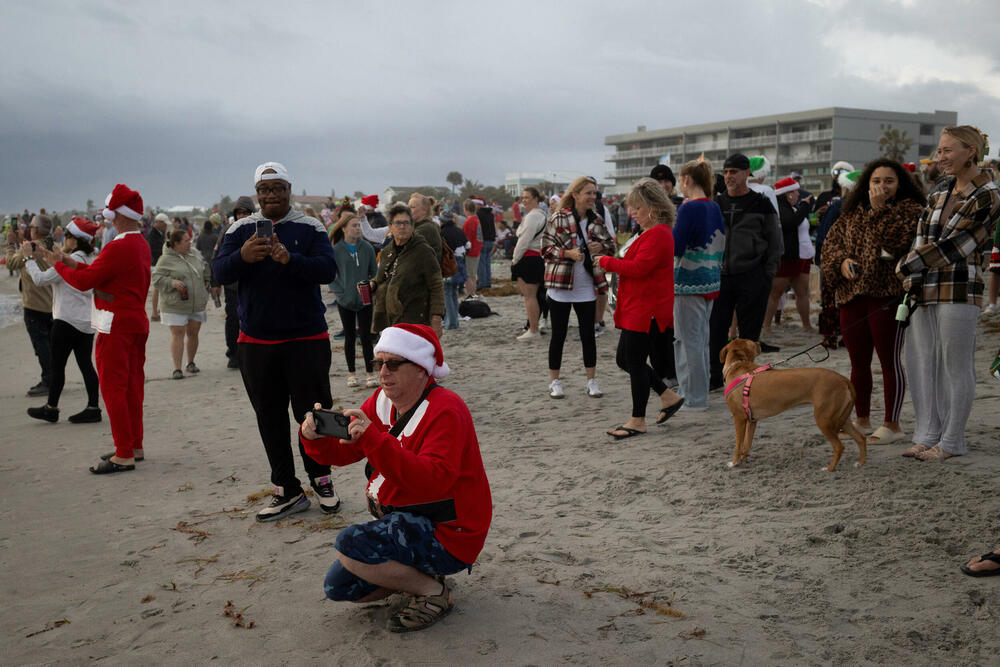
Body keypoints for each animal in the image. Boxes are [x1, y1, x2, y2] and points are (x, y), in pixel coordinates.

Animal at [720, 342, 868, 472]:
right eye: (752, 343)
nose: (759, 343)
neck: (737, 365)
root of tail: (843, 379)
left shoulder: (739, 418)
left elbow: (738, 445)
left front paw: (734, 463)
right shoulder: (752, 420)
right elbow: (746, 444)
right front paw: (742, 460)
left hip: (824, 419)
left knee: (839, 447)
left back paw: (829, 469)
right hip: (842, 418)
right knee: (861, 438)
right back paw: (861, 463)